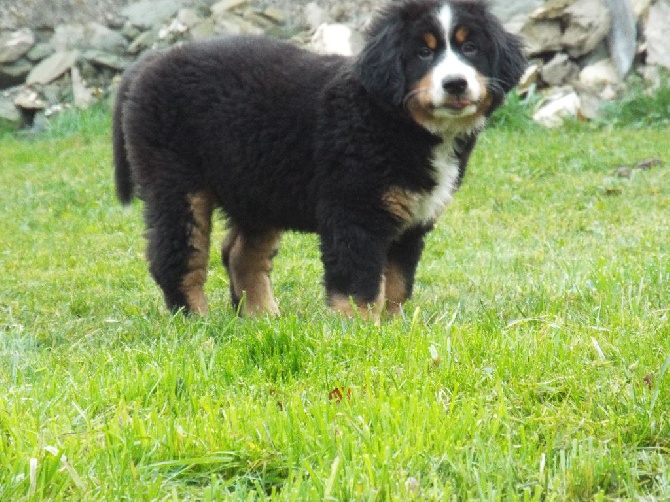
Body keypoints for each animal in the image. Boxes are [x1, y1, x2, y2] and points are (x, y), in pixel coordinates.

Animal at [113, 0, 528, 320]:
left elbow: (397, 284)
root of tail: (148, 63)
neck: (396, 121)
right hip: (177, 183)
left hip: (259, 187)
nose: (455, 83)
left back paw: (263, 319)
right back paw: (197, 322)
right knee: (178, 258)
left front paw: (393, 329)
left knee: (241, 255)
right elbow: (361, 286)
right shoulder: (354, 212)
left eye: (470, 48)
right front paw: (360, 333)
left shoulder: (413, 220)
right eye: (423, 53)